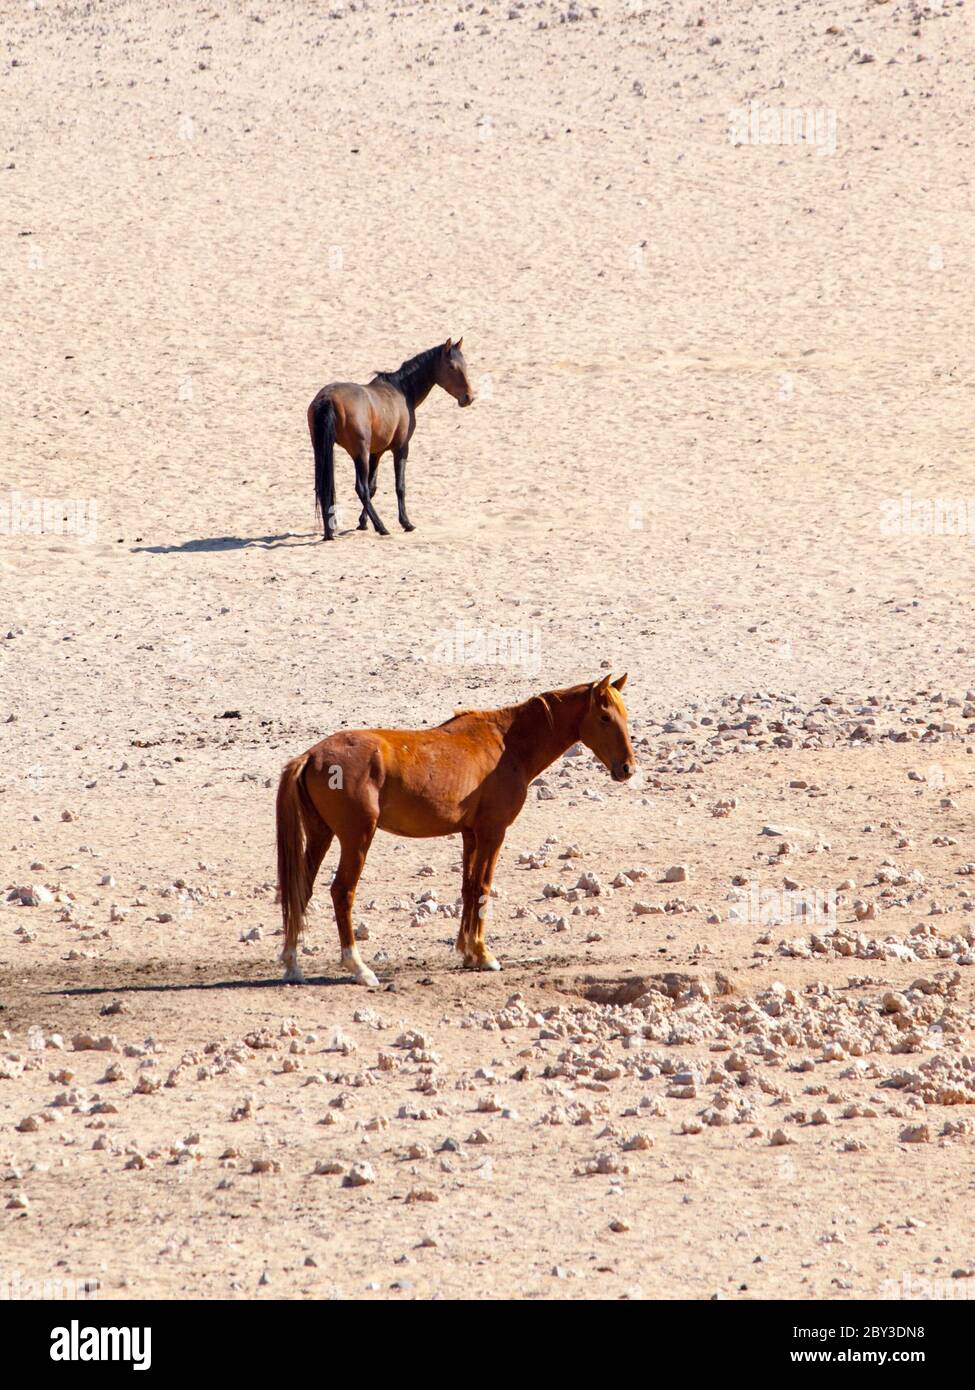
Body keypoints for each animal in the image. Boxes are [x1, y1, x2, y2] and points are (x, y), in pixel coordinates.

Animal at [275, 675, 639, 989]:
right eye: (605, 717)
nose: (627, 768)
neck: (507, 745)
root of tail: (312, 755)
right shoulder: (493, 832)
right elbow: (483, 886)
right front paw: (483, 954)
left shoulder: (470, 834)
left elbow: (468, 887)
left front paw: (467, 952)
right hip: (356, 840)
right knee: (342, 892)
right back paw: (359, 968)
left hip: (321, 835)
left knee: (301, 889)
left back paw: (293, 965)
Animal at [304, 336, 472, 542]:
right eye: (452, 367)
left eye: (465, 365)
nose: (469, 397)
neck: (402, 390)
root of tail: (327, 398)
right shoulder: (401, 448)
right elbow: (398, 486)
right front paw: (406, 523)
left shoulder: (376, 453)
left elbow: (373, 486)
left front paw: (362, 523)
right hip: (359, 453)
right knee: (360, 489)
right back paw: (381, 526)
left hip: (323, 450)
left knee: (326, 488)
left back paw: (330, 532)